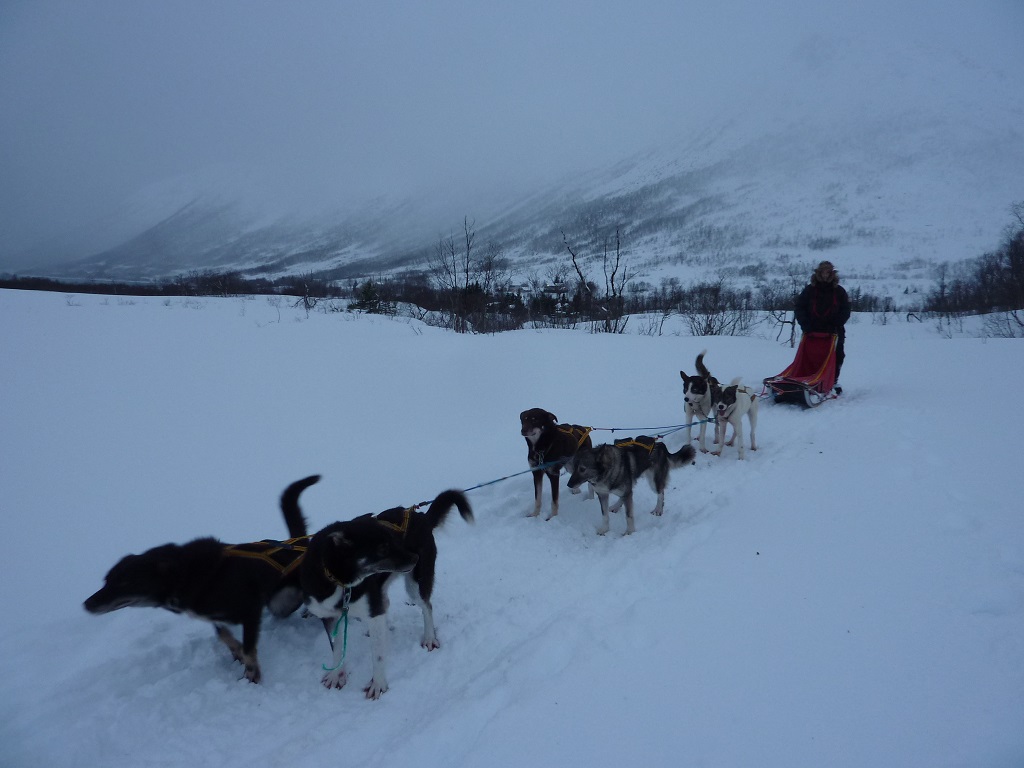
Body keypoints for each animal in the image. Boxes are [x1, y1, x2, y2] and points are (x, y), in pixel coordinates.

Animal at [86, 475, 321, 684]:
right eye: (106, 580)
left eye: (124, 582)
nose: (87, 604)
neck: (189, 574)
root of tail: (299, 544)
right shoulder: (214, 616)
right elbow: (223, 635)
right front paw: (237, 653)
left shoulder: (250, 610)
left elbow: (248, 648)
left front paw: (252, 675)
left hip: (283, 600)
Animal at [290, 489, 473, 700]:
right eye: (383, 547)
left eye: (393, 540)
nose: (415, 557)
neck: (338, 581)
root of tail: (421, 517)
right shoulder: (329, 616)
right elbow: (336, 648)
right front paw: (337, 674)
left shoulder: (373, 610)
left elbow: (377, 655)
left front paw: (378, 684)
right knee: (387, 604)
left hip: (415, 586)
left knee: (427, 606)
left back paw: (429, 637)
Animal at [565, 436, 700, 536]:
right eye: (573, 467)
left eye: (582, 469)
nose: (569, 484)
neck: (607, 471)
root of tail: (660, 445)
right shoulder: (603, 494)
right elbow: (605, 515)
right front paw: (605, 529)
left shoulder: (625, 492)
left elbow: (629, 516)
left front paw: (629, 532)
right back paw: (616, 506)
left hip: (653, 482)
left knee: (660, 493)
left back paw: (658, 509)